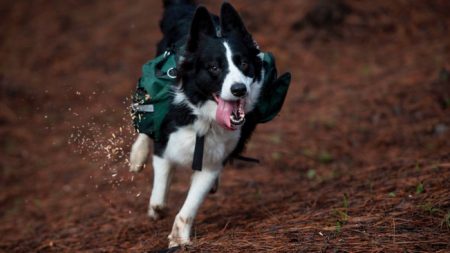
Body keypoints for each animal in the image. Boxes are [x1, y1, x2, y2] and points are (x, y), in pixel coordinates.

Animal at [128, 0, 286, 248]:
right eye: (214, 67)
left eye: (244, 63)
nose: (239, 89)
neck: (205, 117)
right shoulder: (166, 146)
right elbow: (159, 196)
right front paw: (157, 211)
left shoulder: (212, 163)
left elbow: (189, 207)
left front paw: (179, 239)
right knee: (145, 114)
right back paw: (137, 155)